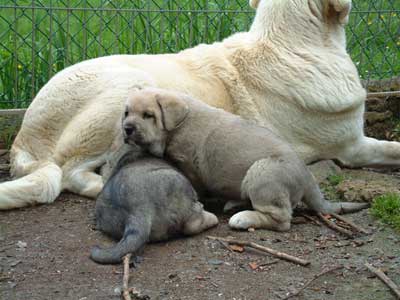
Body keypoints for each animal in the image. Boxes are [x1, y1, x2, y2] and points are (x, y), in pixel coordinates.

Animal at [0, 0, 400, 210]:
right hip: (128, 86)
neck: (293, 46)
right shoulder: (351, 147)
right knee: (68, 174)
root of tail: (24, 138)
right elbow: (392, 148)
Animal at [122, 88, 368, 231]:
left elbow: (195, 187)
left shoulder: (189, 166)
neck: (178, 124)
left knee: (281, 220)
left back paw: (243, 218)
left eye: (148, 115)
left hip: (263, 173)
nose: (127, 129)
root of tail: (307, 176)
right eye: (126, 113)